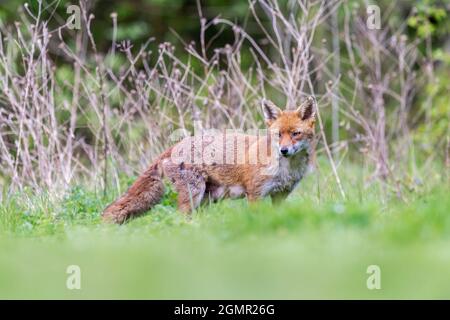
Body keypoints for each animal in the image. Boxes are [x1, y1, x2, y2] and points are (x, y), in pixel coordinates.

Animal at [103, 96, 318, 224]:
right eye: (278, 135)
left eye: (296, 134)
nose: (284, 150)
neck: (286, 170)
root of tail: (175, 145)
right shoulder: (255, 194)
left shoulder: (280, 195)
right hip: (193, 195)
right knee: (179, 220)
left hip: (206, 199)